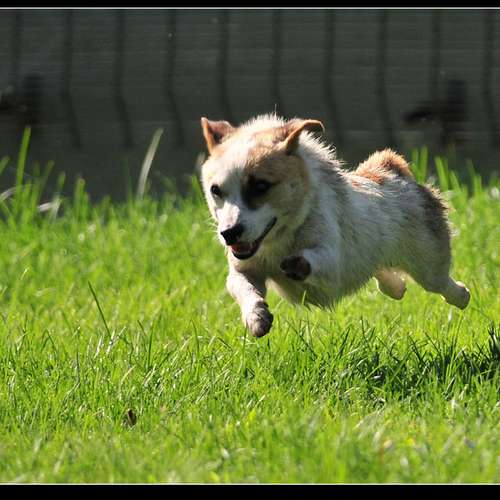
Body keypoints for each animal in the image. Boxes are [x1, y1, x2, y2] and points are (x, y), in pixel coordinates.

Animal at [199, 114, 470, 338]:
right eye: (215, 191)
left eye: (260, 186)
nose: (229, 233)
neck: (280, 237)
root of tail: (393, 173)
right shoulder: (244, 269)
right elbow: (243, 287)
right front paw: (256, 317)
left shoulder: (332, 263)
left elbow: (315, 261)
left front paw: (295, 264)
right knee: (386, 280)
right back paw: (396, 286)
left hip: (428, 263)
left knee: (444, 286)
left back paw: (462, 295)